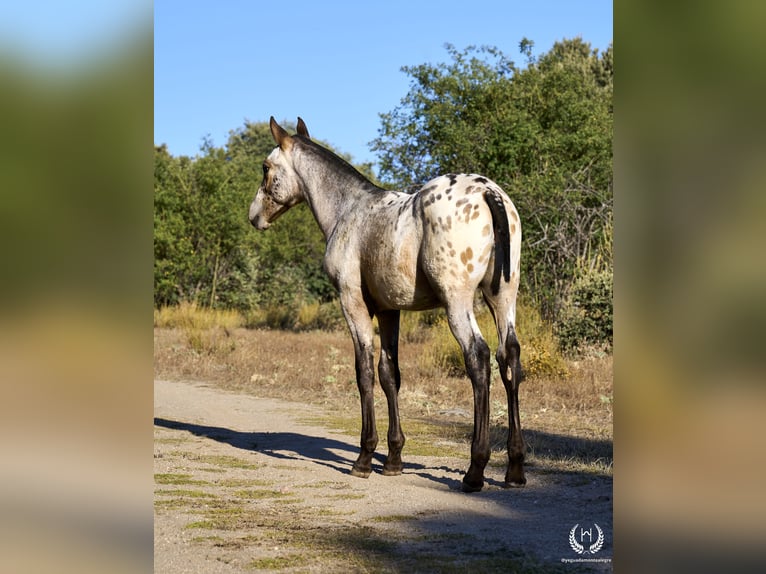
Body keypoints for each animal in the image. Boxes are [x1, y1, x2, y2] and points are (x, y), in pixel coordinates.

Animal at [249, 118, 524, 496]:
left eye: (266, 167)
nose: (254, 216)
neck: (348, 210)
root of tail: (488, 192)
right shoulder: (389, 309)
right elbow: (389, 374)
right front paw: (393, 459)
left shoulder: (353, 302)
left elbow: (364, 371)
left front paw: (364, 458)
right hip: (502, 298)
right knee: (508, 357)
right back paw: (514, 468)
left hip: (458, 303)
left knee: (478, 358)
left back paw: (475, 470)